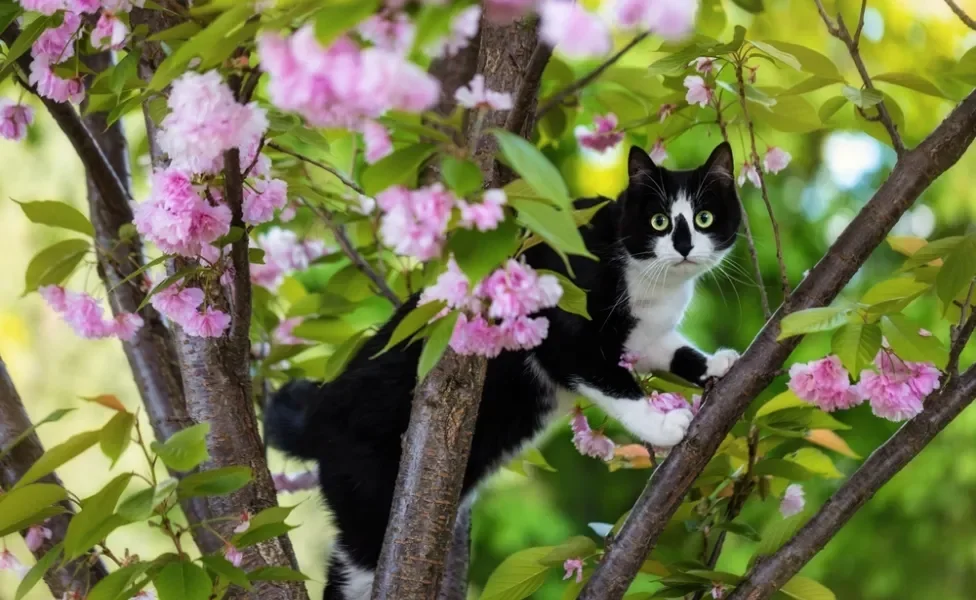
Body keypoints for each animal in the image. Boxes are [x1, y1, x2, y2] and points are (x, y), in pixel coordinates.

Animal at [264, 142, 744, 600]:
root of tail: (318, 413)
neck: (650, 280)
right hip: (368, 493)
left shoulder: (642, 337)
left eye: (703, 218)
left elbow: (669, 350)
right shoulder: (566, 330)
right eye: (659, 222)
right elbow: (610, 381)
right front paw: (663, 424)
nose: (684, 246)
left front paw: (716, 363)